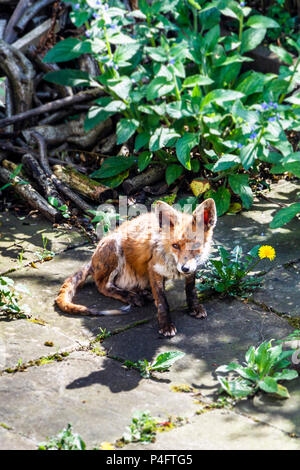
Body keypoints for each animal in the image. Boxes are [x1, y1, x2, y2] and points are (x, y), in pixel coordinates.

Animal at [55, 196, 217, 336]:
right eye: (175, 245)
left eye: (196, 246)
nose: (184, 269)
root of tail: (92, 260)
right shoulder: (153, 268)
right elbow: (162, 302)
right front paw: (165, 324)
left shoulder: (192, 268)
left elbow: (191, 290)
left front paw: (194, 307)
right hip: (115, 246)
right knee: (102, 286)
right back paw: (132, 297)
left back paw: (142, 293)